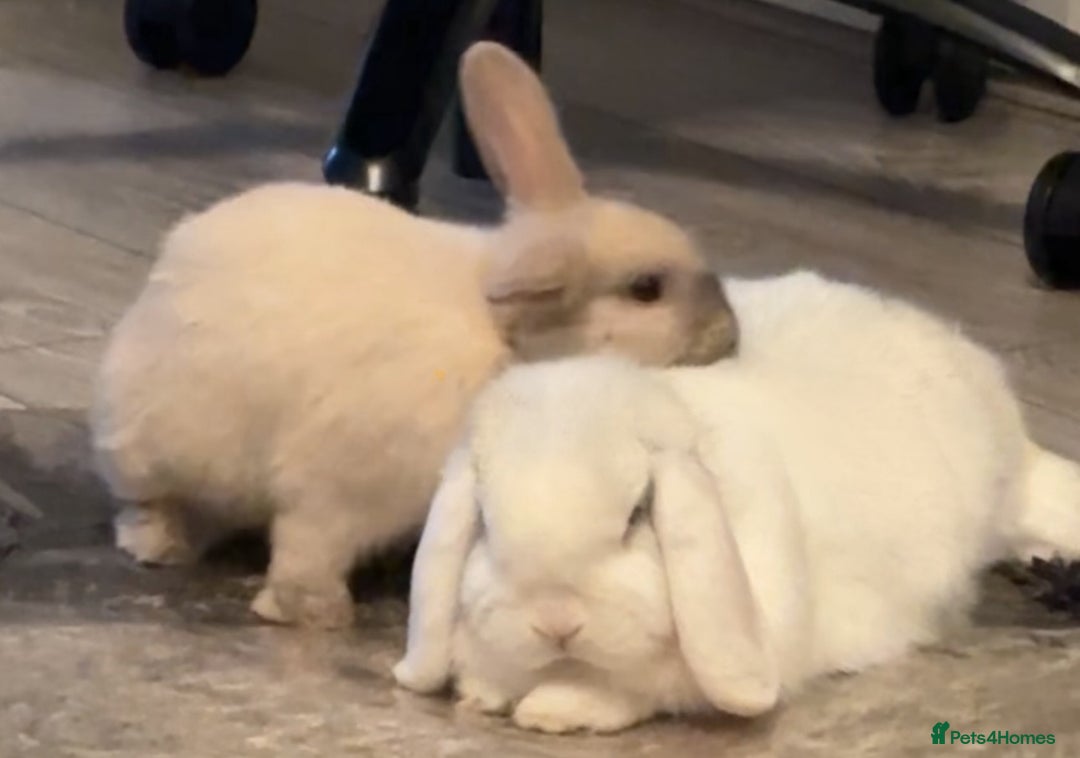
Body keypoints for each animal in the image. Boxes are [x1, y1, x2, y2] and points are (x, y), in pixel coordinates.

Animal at [88, 41, 738, 630]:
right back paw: (160, 544)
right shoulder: (338, 488)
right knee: (151, 503)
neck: (504, 345)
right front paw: (317, 614)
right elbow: (310, 547)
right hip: (160, 449)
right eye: (647, 289)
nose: (729, 336)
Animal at [393, 269, 1080, 734]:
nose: (557, 622)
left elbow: (632, 692)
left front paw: (553, 709)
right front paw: (484, 694)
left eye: (637, 515)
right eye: (485, 523)